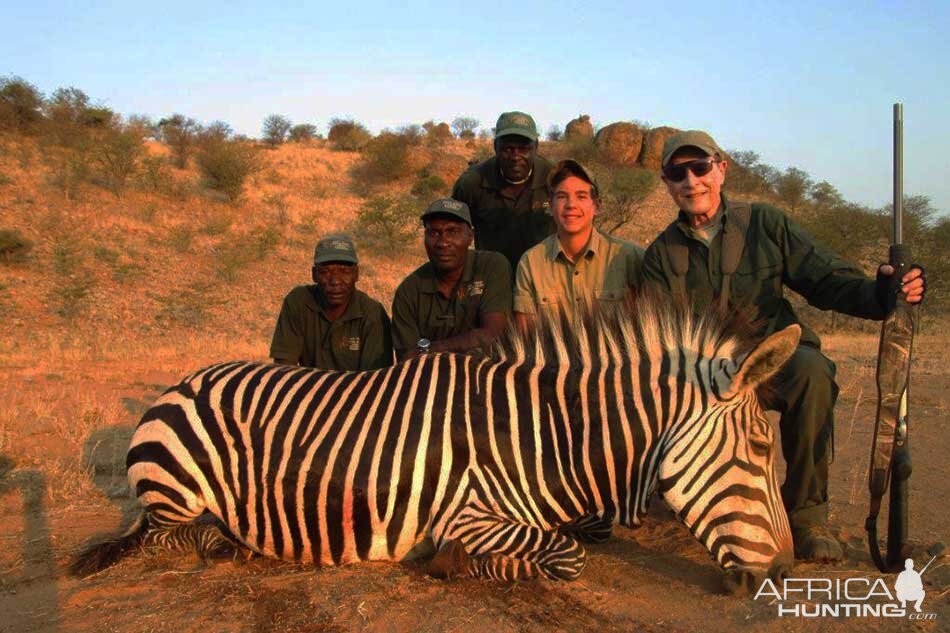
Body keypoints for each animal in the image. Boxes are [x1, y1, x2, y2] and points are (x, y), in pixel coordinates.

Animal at [72, 302, 796, 592]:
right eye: (762, 451)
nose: (787, 573)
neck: (539, 435)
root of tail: (185, 379)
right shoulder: (469, 514)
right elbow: (566, 556)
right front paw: (455, 565)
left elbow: (573, 542)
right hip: (178, 487)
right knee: (166, 533)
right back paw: (226, 543)